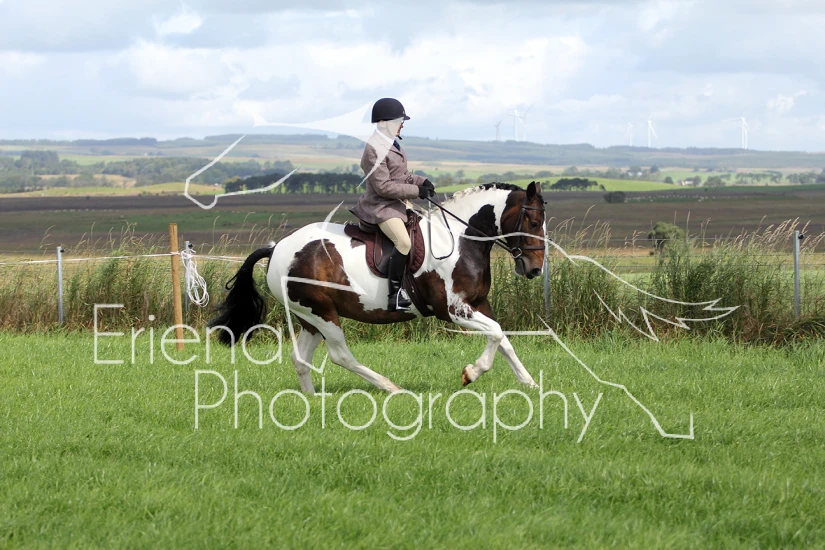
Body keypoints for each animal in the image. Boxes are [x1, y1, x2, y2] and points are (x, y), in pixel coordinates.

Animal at [209, 181, 547, 394]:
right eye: (532, 223)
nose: (534, 269)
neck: (460, 239)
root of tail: (277, 247)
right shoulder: (453, 310)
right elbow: (496, 334)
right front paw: (471, 373)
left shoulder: (478, 303)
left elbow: (502, 337)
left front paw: (530, 384)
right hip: (323, 313)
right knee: (340, 355)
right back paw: (390, 387)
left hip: (310, 317)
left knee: (301, 359)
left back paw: (312, 398)